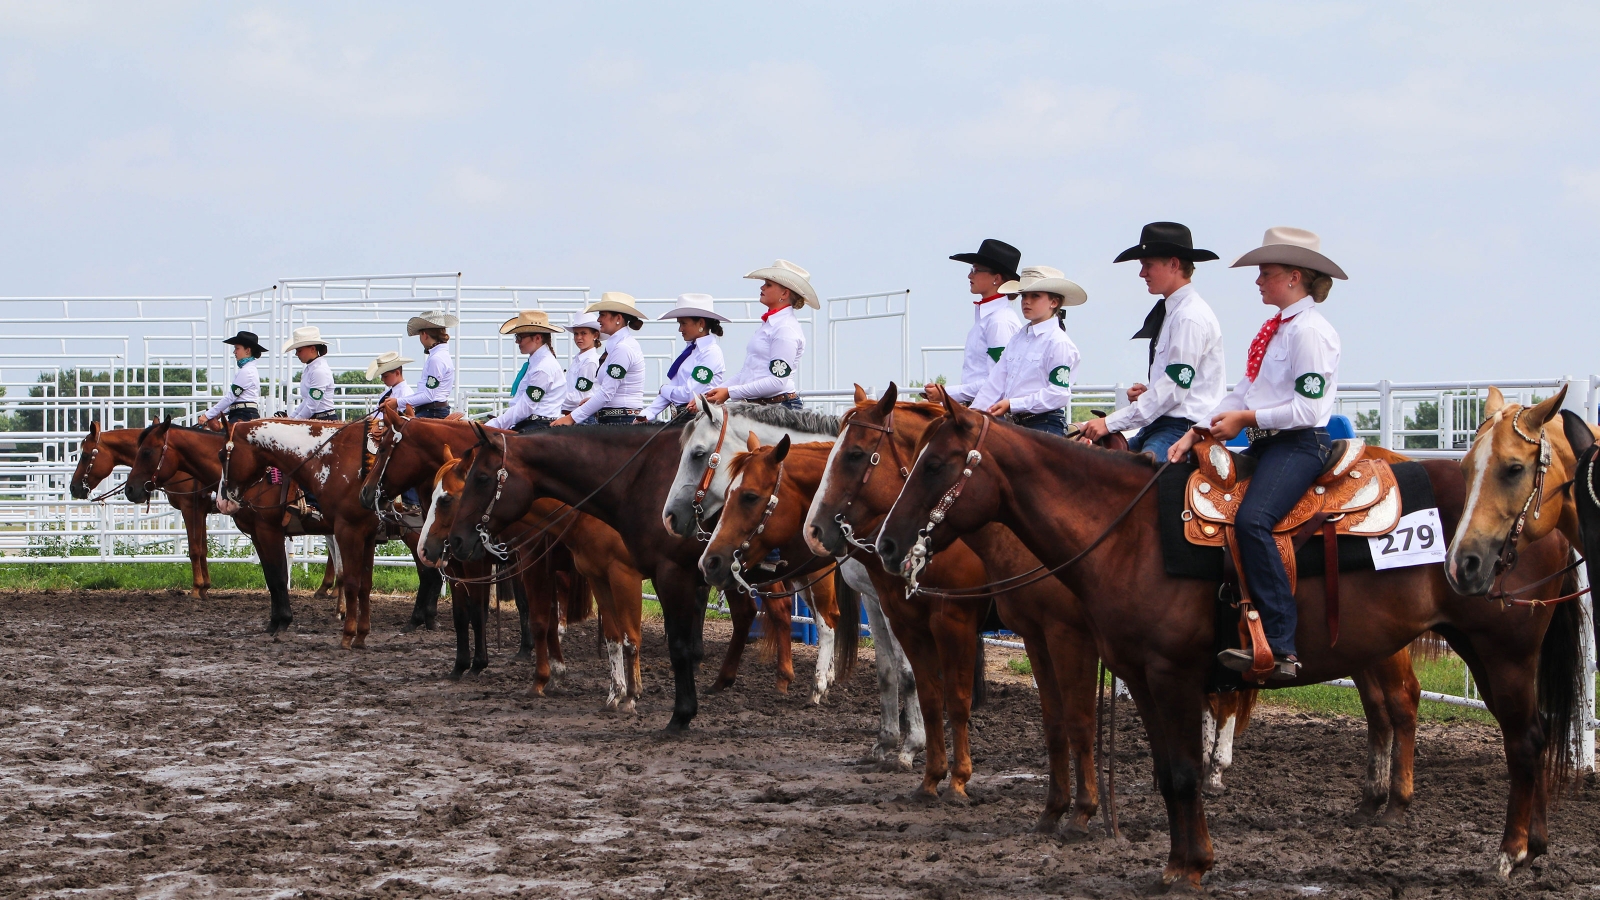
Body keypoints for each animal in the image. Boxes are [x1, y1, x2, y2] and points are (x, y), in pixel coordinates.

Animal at [122, 419, 368, 624]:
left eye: (146, 452)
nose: (130, 489)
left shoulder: (262, 528)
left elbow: (276, 575)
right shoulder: (251, 531)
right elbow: (268, 575)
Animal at [358, 403, 643, 704]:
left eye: (384, 448)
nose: (364, 493)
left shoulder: (500, 563)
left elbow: (494, 611)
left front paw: (487, 665)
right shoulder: (461, 564)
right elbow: (463, 613)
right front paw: (461, 665)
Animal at [444, 419, 851, 730]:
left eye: (482, 478)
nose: (456, 540)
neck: (638, 481)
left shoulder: (667, 576)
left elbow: (675, 644)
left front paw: (679, 714)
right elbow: (618, 635)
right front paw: (623, 695)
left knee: (827, 620)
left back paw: (817, 684)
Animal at [883, 390, 1580, 883]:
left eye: (937, 463)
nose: (887, 545)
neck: (1129, 532)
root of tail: (1539, 513)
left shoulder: (1171, 674)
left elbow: (1187, 771)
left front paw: (1190, 865)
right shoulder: (1142, 677)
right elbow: (1169, 773)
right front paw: (1181, 861)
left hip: (1503, 653)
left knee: (1525, 740)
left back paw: (1511, 853)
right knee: (1528, 735)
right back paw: (1534, 847)